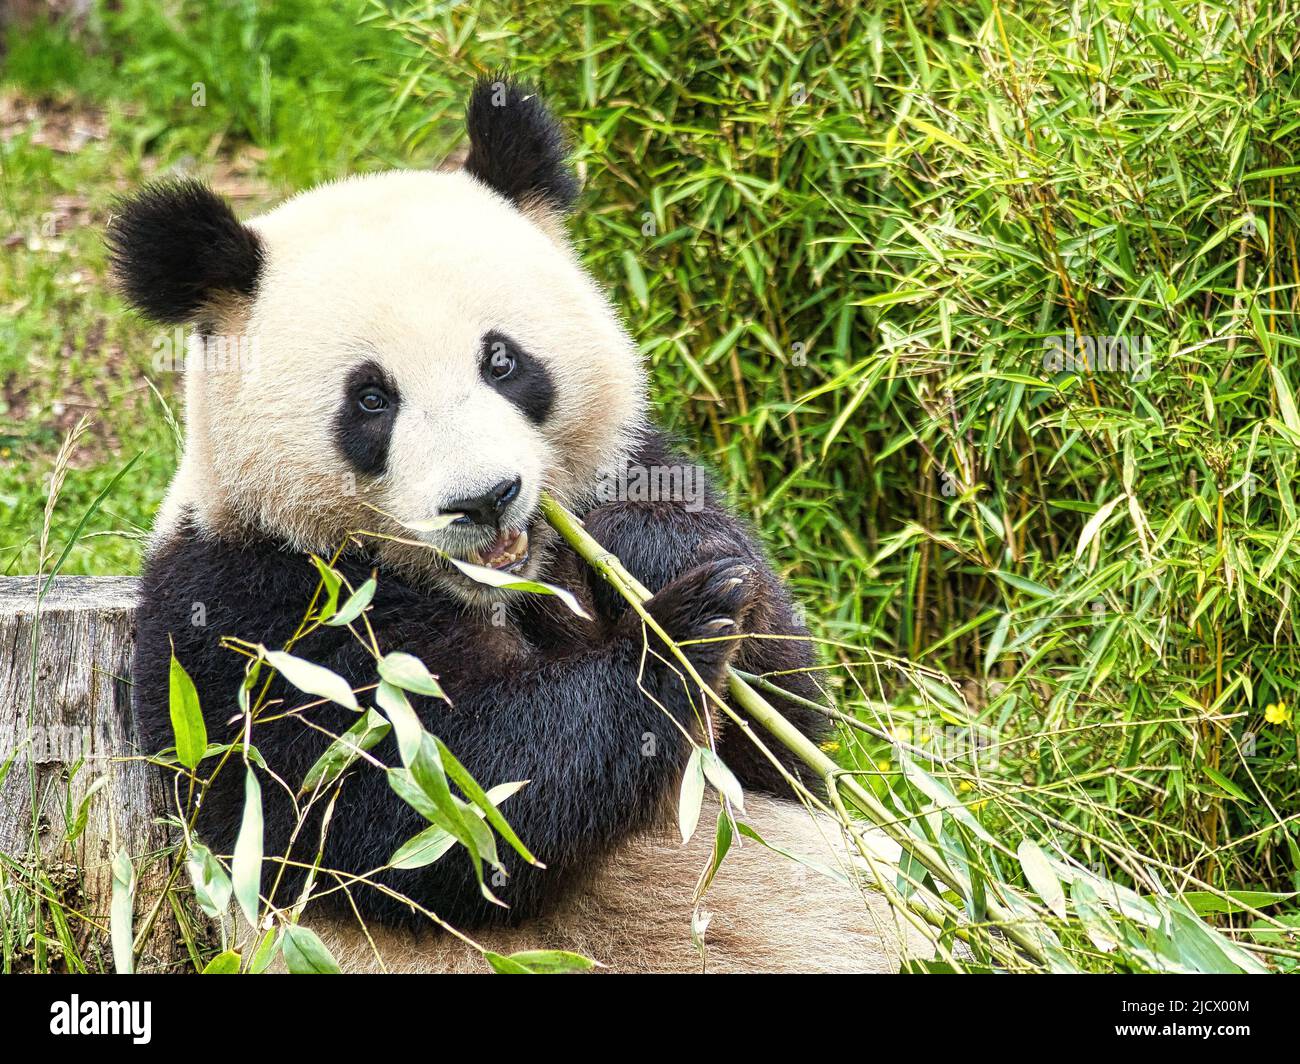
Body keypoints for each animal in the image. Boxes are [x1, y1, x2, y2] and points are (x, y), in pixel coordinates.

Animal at [111, 78, 925, 973]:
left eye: (501, 360)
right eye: (372, 398)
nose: (484, 499)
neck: (495, 588)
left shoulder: (633, 467)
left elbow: (781, 744)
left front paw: (661, 557)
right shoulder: (251, 607)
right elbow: (435, 803)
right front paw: (678, 636)